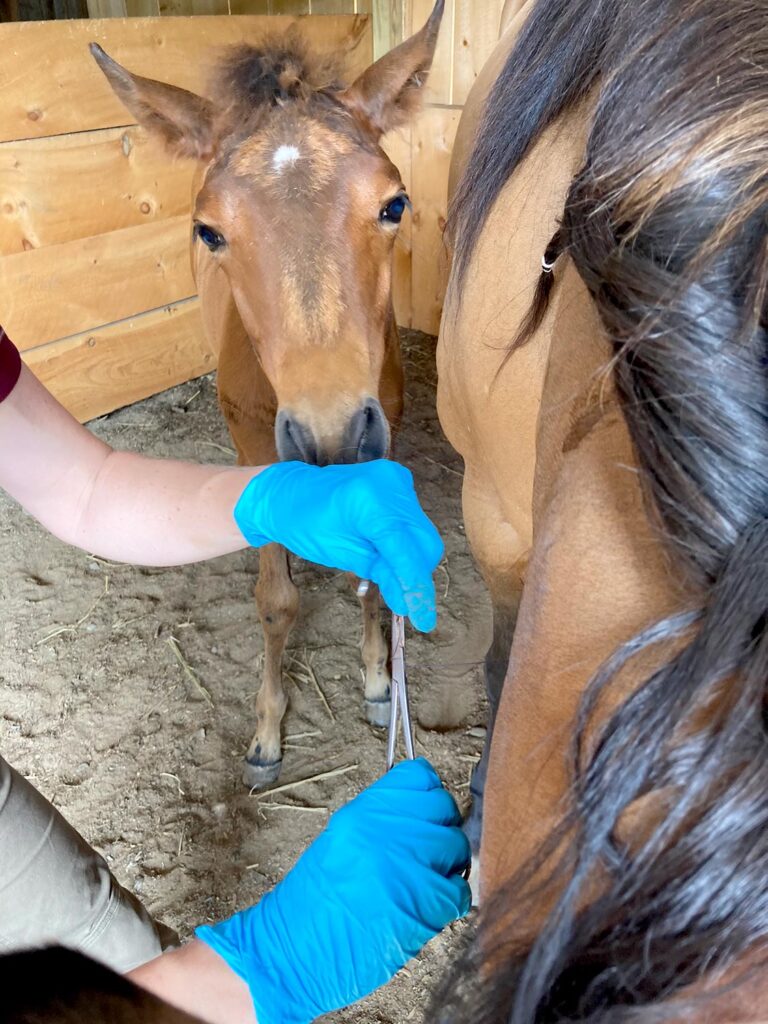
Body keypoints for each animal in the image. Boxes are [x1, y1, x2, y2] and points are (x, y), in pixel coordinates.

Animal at [91, 1, 444, 790]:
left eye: (395, 204)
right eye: (209, 230)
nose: (331, 437)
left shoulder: (386, 435)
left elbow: (372, 569)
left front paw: (379, 680)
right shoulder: (259, 448)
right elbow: (275, 601)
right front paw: (266, 733)